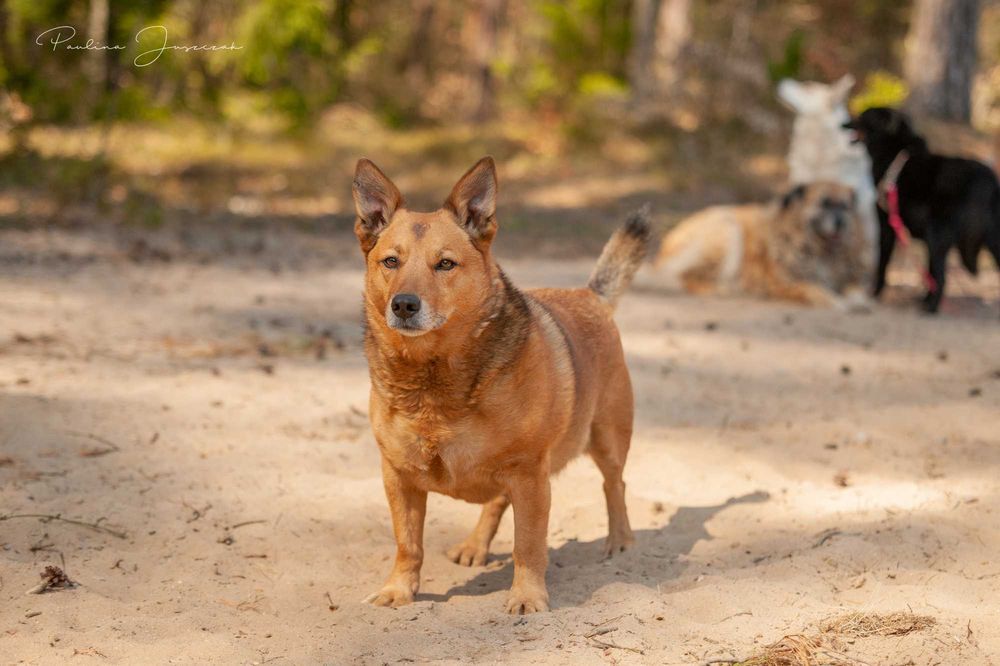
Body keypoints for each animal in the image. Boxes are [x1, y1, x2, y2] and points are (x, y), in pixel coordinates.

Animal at [352, 156, 648, 612]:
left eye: (445, 264)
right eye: (390, 262)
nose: (403, 305)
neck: (432, 376)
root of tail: (589, 296)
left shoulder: (530, 475)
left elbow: (528, 544)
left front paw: (527, 596)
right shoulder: (398, 475)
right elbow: (409, 543)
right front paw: (398, 590)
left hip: (608, 438)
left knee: (614, 484)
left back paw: (620, 541)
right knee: (495, 501)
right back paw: (475, 545)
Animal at [844, 107, 1000, 314]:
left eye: (863, 117)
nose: (843, 124)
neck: (895, 158)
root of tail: (989, 180)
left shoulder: (887, 226)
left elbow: (883, 265)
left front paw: (874, 294)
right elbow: (929, 271)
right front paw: (924, 298)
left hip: (938, 234)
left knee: (942, 278)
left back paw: (930, 309)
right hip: (987, 237)